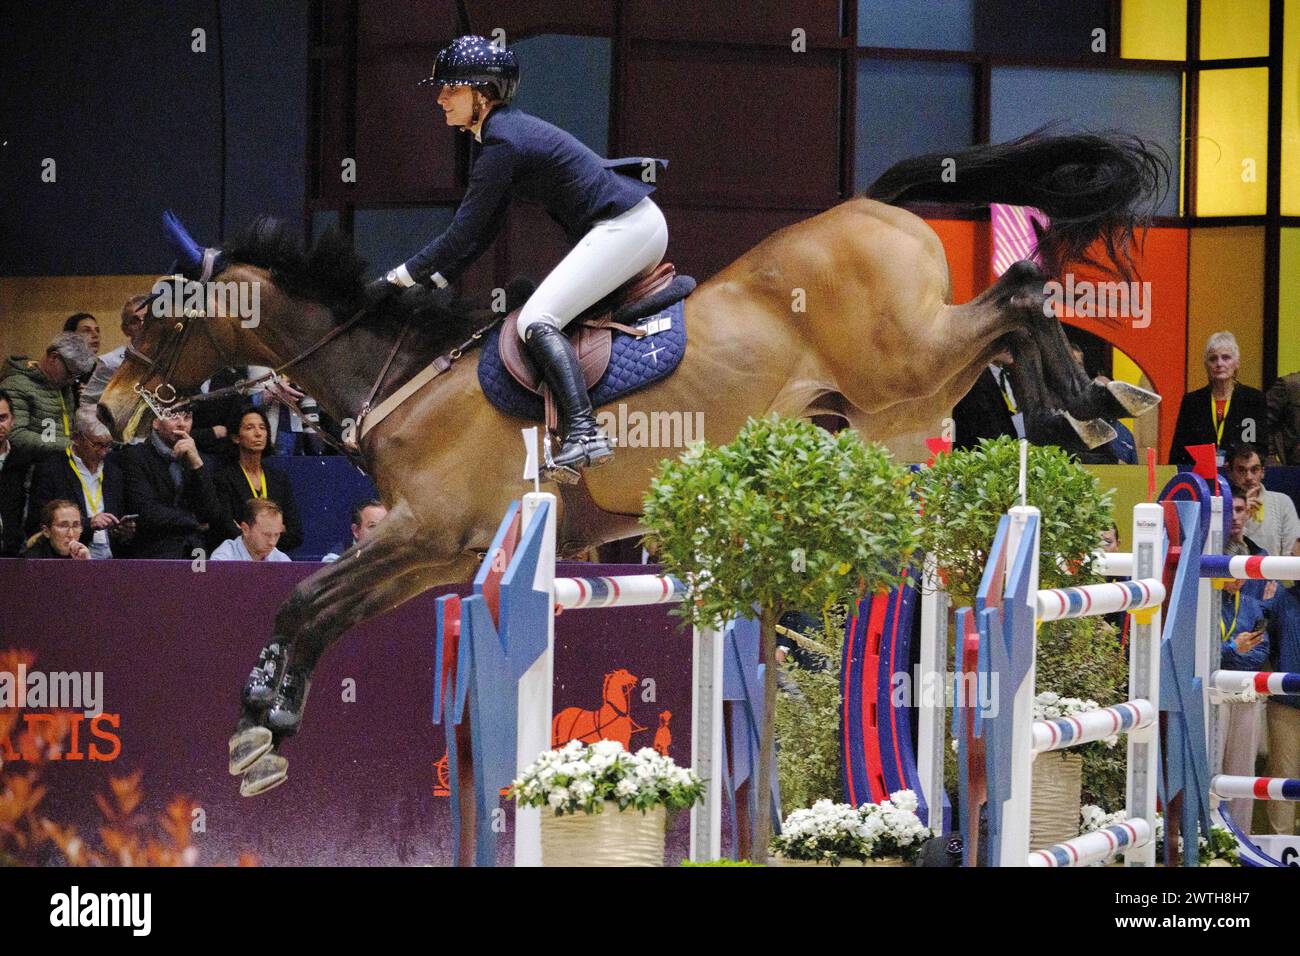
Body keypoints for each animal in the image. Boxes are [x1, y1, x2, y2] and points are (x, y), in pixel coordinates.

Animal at [96, 130, 1164, 796]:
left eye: (152, 319)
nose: (105, 414)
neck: (400, 374)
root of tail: (870, 205)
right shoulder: (439, 553)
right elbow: (323, 611)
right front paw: (268, 730)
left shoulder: (428, 533)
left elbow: (302, 599)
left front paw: (256, 722)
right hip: (895, 399)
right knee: (1009, 320)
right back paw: (1095, 406)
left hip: (904, 366)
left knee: (1019, 291)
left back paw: (1089, 408)